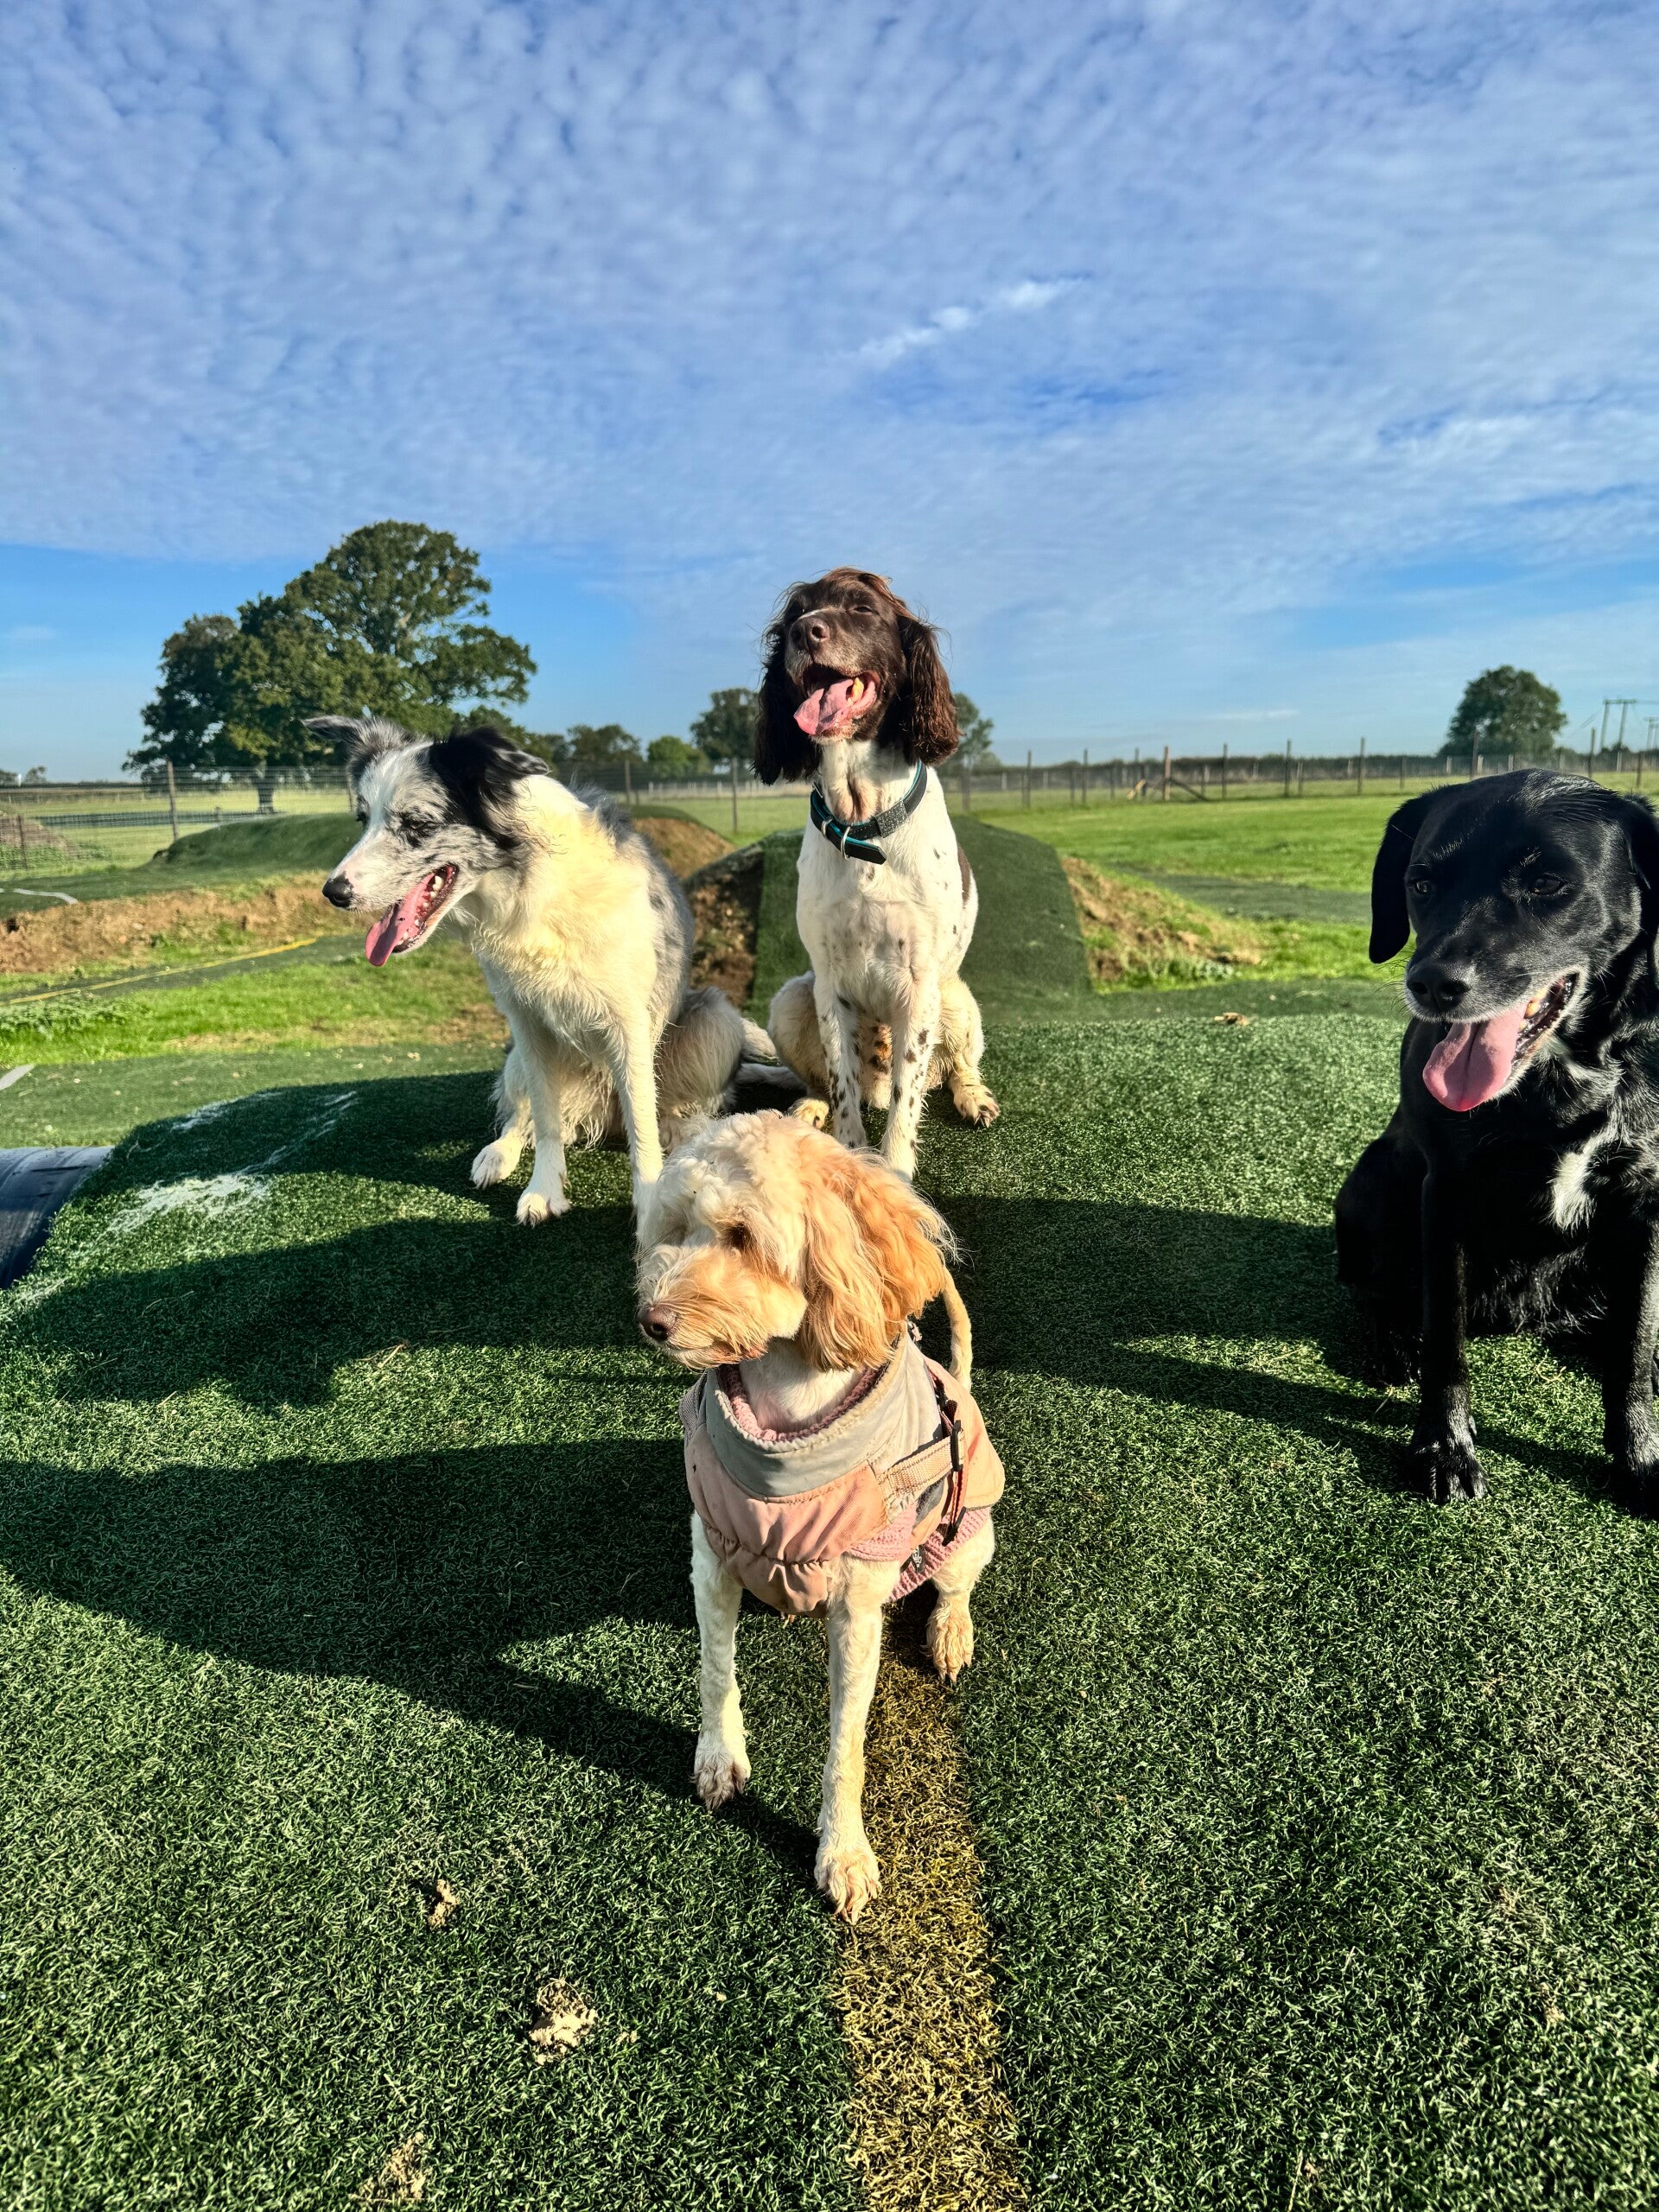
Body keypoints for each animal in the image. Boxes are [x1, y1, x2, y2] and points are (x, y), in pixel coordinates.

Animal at [313, 715, 774, 1225]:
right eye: (363, 819)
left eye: (416, 824)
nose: (333, 892)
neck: (531, 893)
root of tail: (602, 1116)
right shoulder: (529, 1025)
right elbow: (546, 1119)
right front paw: (544, 1189)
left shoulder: (629, 1024)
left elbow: (643, 1126)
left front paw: (651, 1202)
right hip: (515, 1058)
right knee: (522, 1116)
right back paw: (498, 1153)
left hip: (715, 1019)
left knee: (665, 1112)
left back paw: (687, 1131)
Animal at [636, 1111, 1003, 1920]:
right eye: (672, 1228)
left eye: (743, 1236)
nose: (651, 1319)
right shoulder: (710, 1555)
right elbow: (715, 1670)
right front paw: (719, 1758)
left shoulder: (857, 1607)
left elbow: (846, 1746)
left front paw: (843, 1854)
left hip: (970, 1529)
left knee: (956, 1584)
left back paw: (950, 1632)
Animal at [754, 568, 999, 1178]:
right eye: (796, 611)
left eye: (863, 609)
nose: (805, 633)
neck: (863, 826)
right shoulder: (830, 983)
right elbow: (841, 1086)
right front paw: (850, 1152)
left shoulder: (919, 986)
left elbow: (908, 1103)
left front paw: (894, 1171)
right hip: (792, 998)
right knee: (827, 1080)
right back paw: (809, 1106)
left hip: (957, 998)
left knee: (953, 1068)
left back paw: (973, 1096)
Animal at [1336, 770, 1659, 1506]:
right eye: (1423, 882)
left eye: (1547, 882)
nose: (1430, 984)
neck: (1571, 1069)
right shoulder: (1448, 1193)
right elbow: (1445, 1343)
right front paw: (1443, 1448)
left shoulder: (1646, 1199)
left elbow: (1634, 1345)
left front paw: (1641, 1456)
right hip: (1371, 1178)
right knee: (1374, 1288)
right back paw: (1392, 1345)